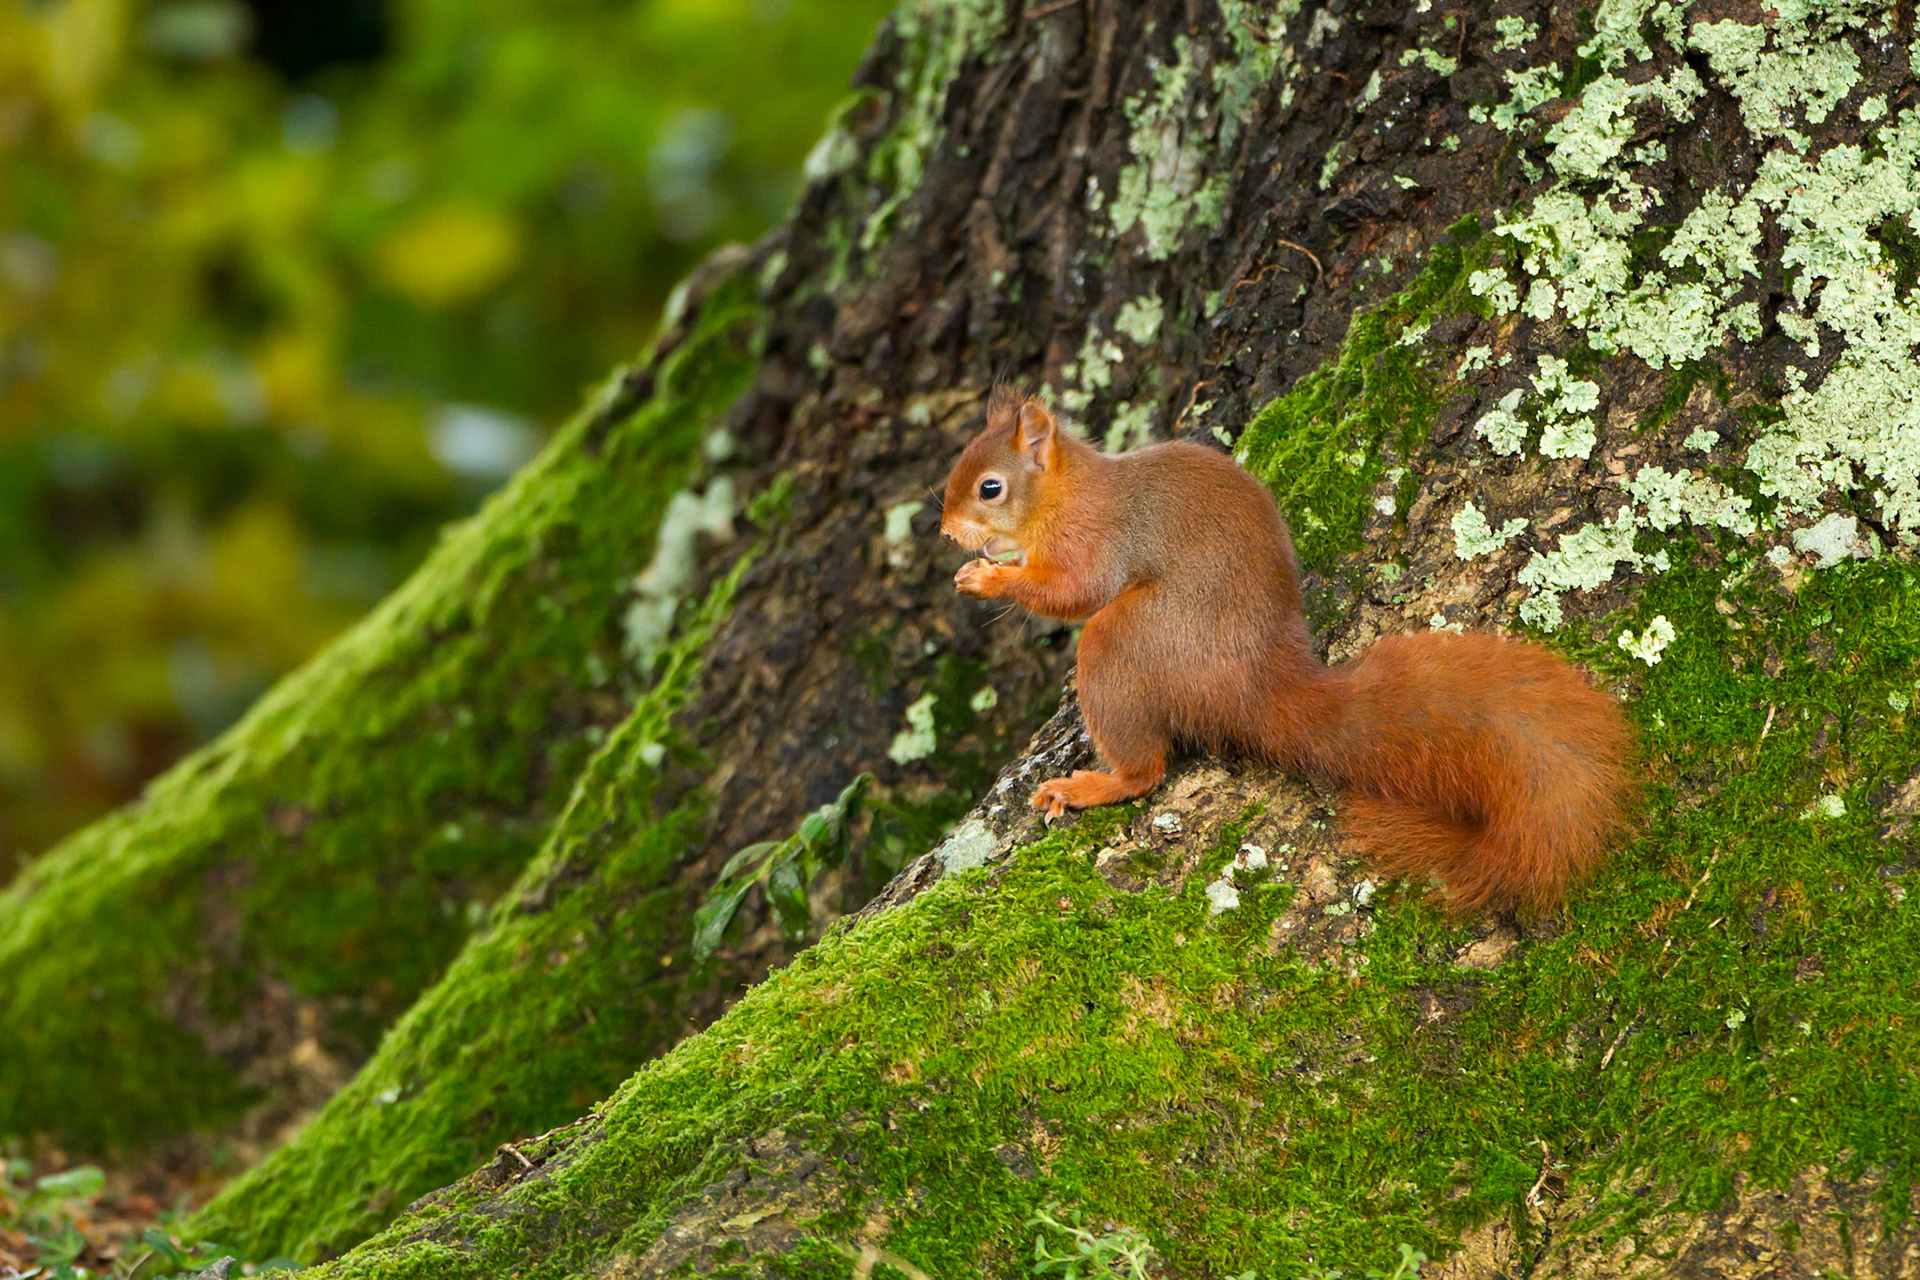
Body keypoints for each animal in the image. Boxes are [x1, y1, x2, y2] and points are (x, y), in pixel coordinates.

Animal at [939, 385, 1632, 914]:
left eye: (990, 488)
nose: (946, 532)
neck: (1064, 493)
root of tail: (1253, 686)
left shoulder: (1094, 537)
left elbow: (1075, 589)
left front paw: (989, 578)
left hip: (1124, 643)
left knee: (1146, 769)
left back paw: (1091, 785)